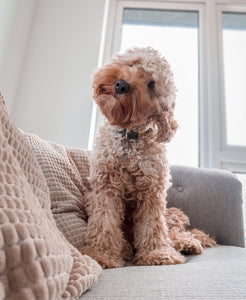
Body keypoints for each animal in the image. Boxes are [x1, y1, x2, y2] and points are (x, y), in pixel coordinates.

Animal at [81, 47, 215, 270]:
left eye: (151, 84)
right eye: (132, 64)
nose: (121, 85)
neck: (128, 138)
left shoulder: (152, 191)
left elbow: (153, 226)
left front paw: (157, 254)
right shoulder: (105, 187)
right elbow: (104, 223)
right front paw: (102, 254)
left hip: (171, 213)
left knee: (174, 232)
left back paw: (189, 243)